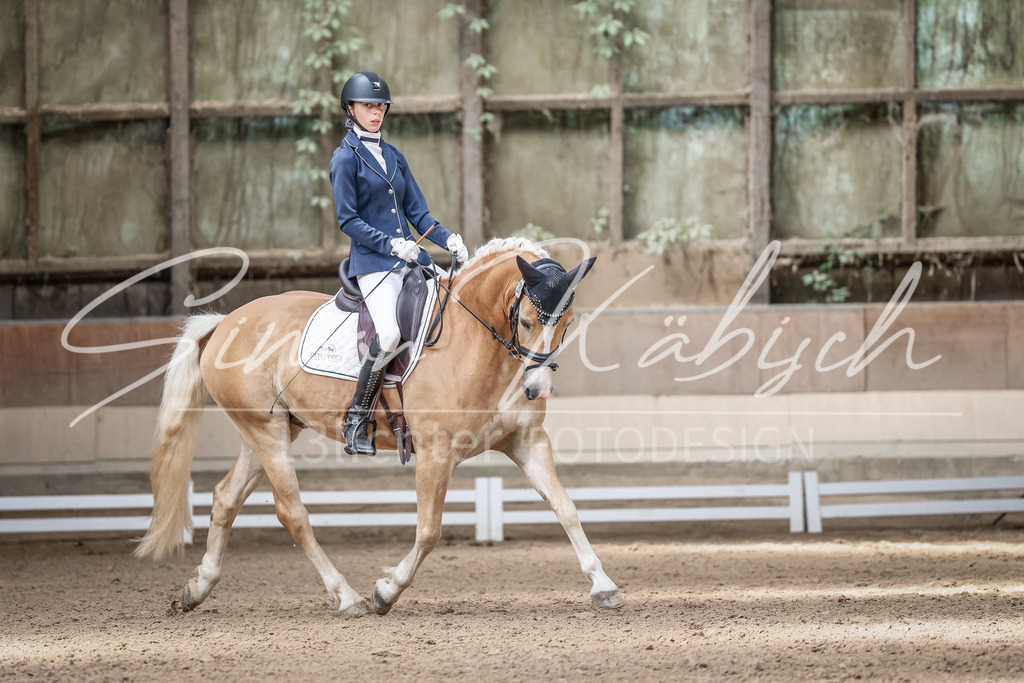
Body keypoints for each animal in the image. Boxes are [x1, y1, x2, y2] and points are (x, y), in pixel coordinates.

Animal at [135, 237, 623, 615]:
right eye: (524, 320)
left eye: (568, 321)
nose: (537, 389)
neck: (478, 343)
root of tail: (225, 322)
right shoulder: (436, 453)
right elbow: (428, 531)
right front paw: (386, 592)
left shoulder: (526, 443)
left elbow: (566, 507)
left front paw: (604, 586)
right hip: (266, 433)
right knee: (292, 513)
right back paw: (346, 596)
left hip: (272, 429)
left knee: (225, 498)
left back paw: (196, 589)